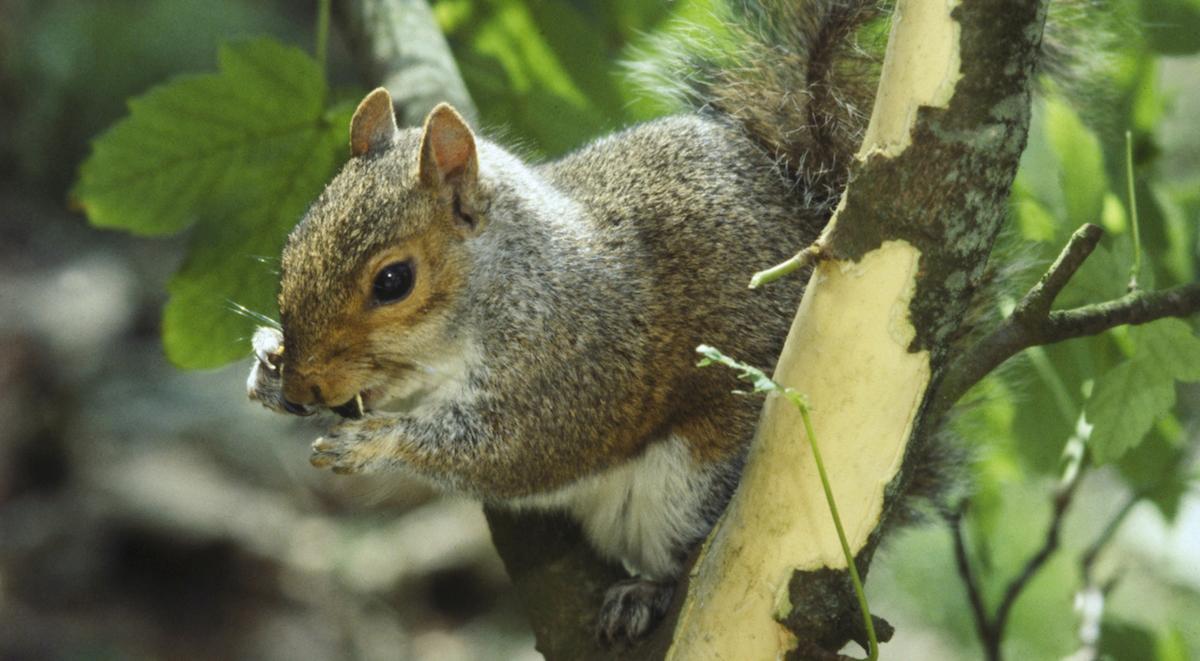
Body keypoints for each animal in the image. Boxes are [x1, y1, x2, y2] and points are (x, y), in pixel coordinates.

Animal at [246, 0, 926, 643]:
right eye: (293, 241)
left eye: (393, 281)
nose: (304, 389)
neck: (512, 277)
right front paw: (266, 365)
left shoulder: (581, 363)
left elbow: (516, 449)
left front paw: (373, 442)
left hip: (693, 482)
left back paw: (646, 593)